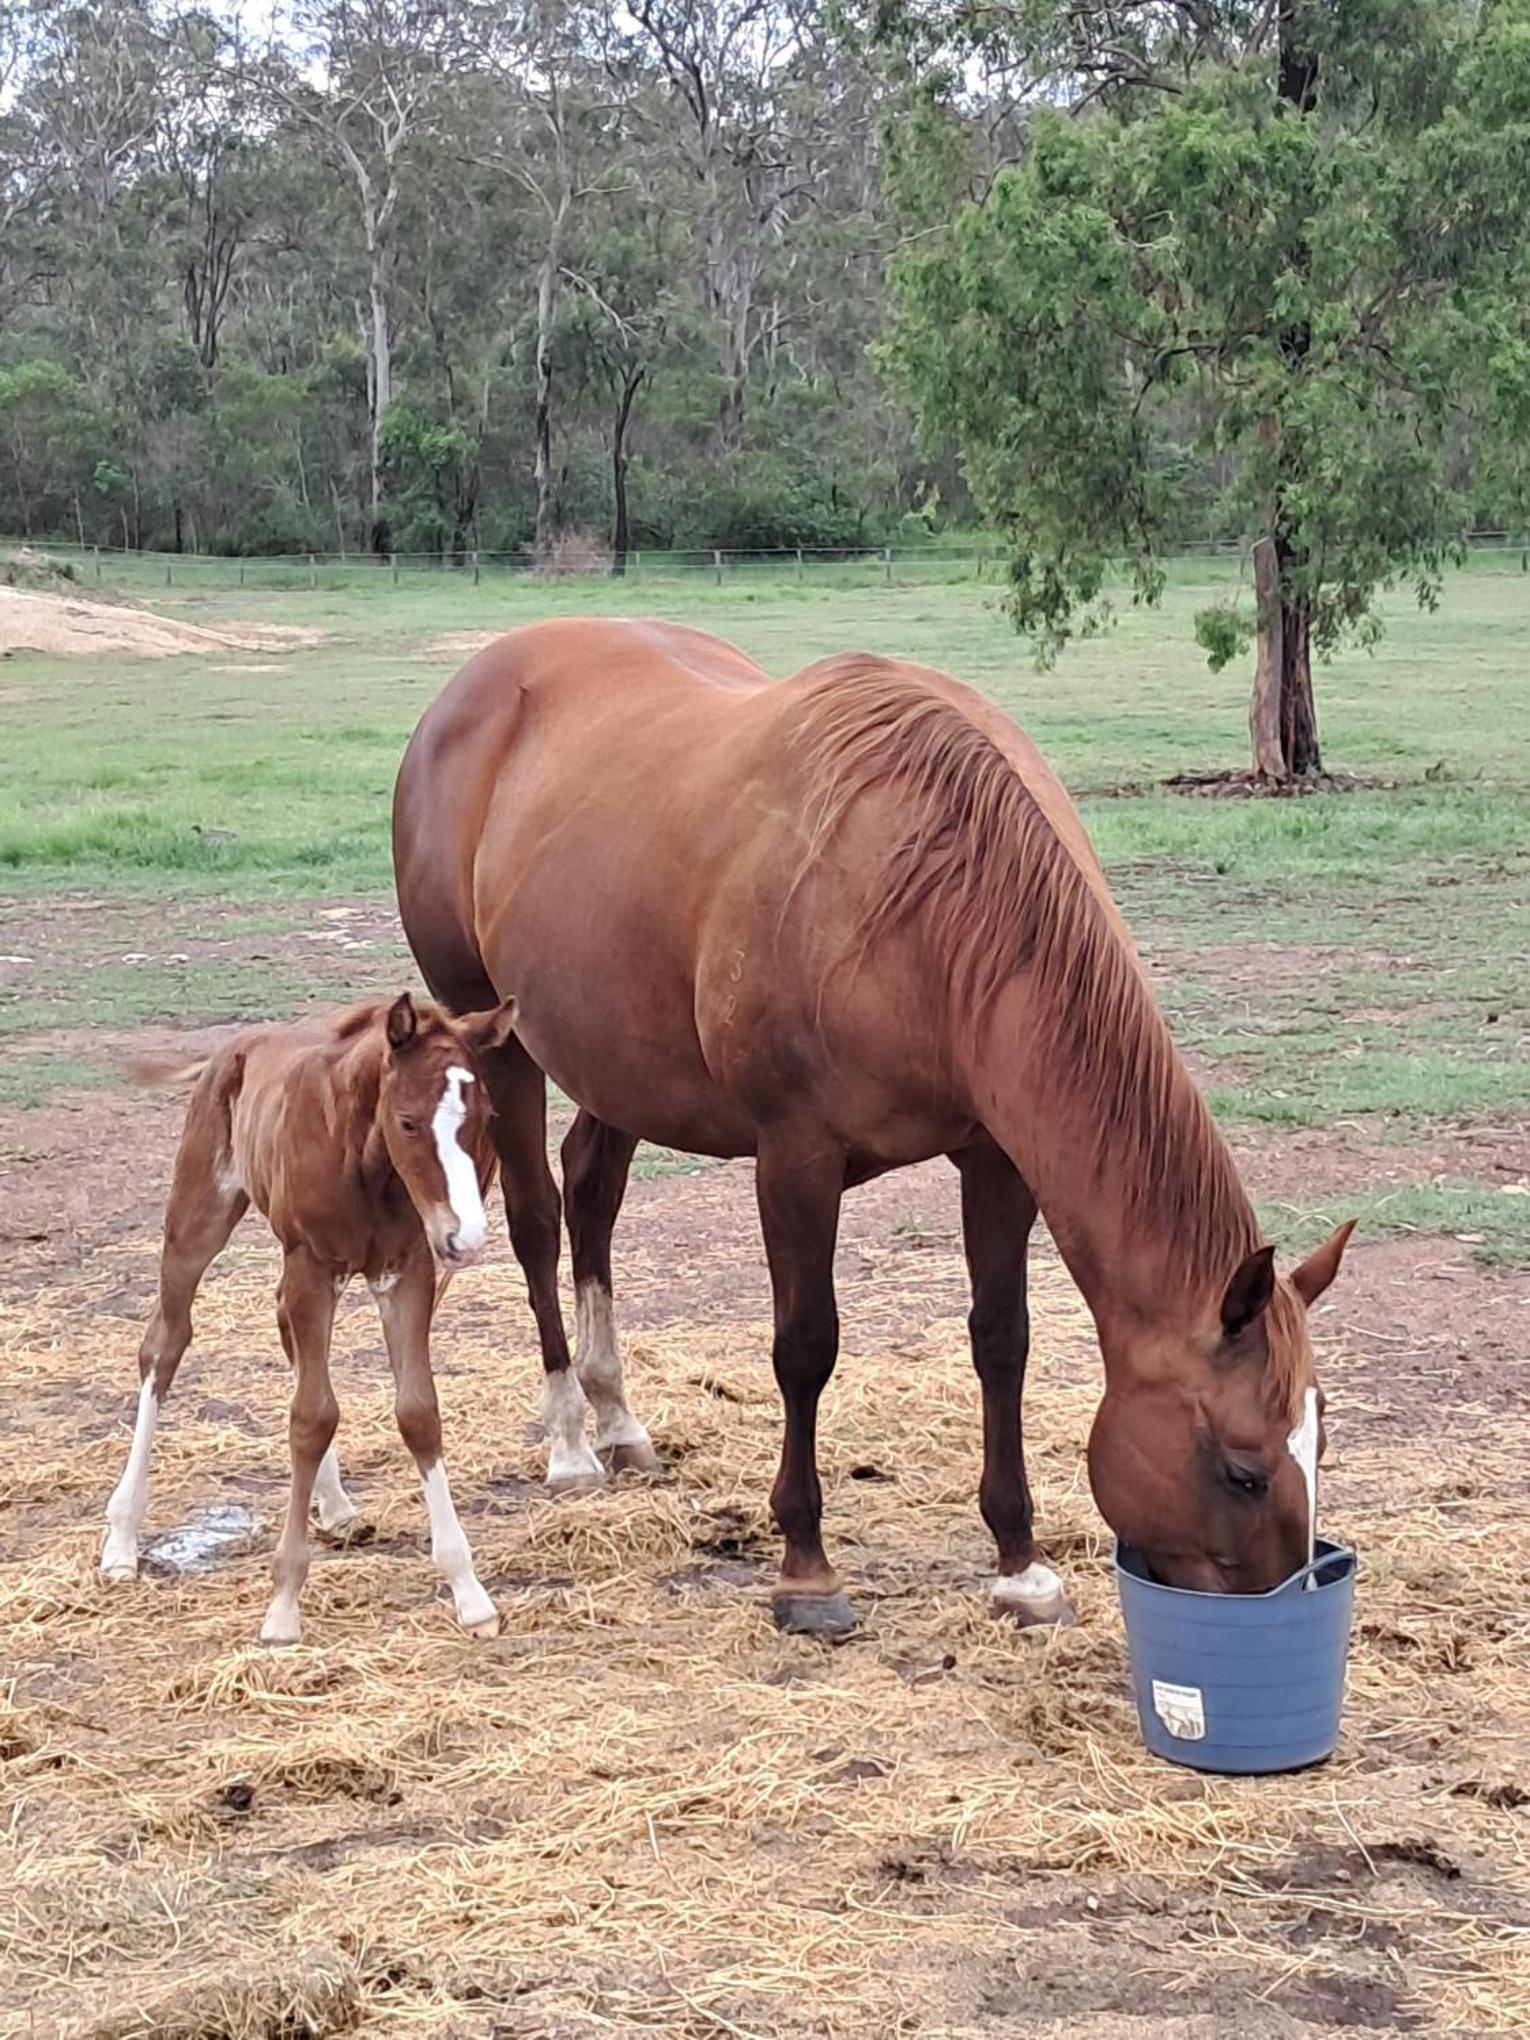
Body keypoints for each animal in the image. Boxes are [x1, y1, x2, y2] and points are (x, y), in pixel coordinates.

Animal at [101, 991, 517, 1645]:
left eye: (485, 1116)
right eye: (407, 1122)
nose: (466, 1240)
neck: (363, 1160)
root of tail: (232, 1048)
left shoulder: (406, 1271)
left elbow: (417, 1413)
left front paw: (469, 1593)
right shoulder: (313, 1265)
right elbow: (312, 1416)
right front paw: (283, 1607)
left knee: (280, 1326)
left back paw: (338, 1506)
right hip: (198, 1218)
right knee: (164, 1345)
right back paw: (121, 1537)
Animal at [392, 617, 1353, 1636]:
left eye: (1319, 1444)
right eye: (1243, 1471)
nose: (1284, 1607)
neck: (926, 906)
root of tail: (476, 683)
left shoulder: (994, 1158)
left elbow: (1001, 1339)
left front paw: (1021, 1564)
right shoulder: (796, 1160)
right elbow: (806, 1347)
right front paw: (806, 1569)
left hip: (618, 1061)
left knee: (592, 1193)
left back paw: (619, 1421)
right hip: (497, 1037)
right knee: (538, 1220)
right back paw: (573, 1441)